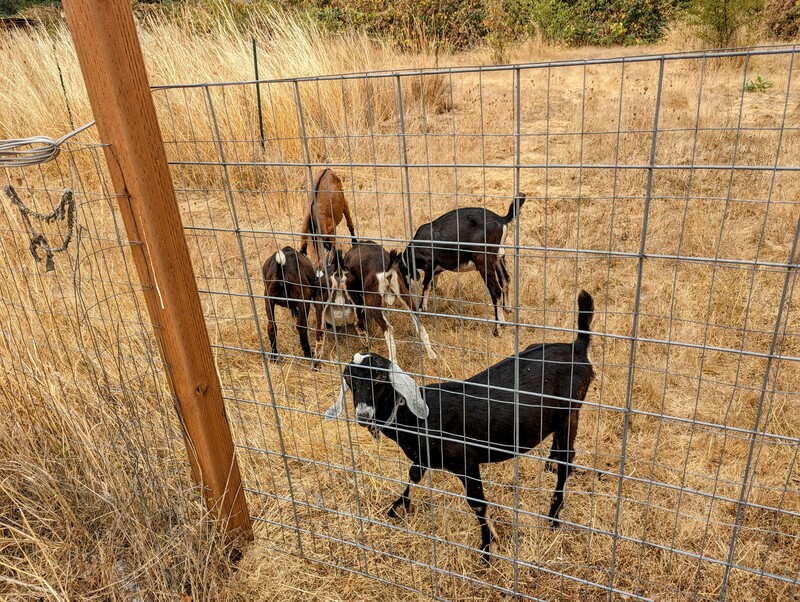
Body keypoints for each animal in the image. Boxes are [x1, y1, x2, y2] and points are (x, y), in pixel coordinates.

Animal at [324, 288, 592, 560]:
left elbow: (477, 504)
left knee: (567, 460)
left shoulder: (466, 461)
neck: (416, 420)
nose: (363, 413)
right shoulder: (424, 456)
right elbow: (414, 474)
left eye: (379, 377)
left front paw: (487, 547)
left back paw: (553, 516)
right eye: (349, 378)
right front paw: (397, 507)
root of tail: (577, 347)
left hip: (570, 411)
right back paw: (549, 467)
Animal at [398, 195, 524, 336]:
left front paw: (421, 308)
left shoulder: (429, 263)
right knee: (505, 279)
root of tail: (501, 219)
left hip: (483, 259)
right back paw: (507, 309)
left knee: (495, 290)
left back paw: (498, 328)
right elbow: (432, 285)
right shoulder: (436, 270)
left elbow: (426, 285)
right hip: (498, 257)